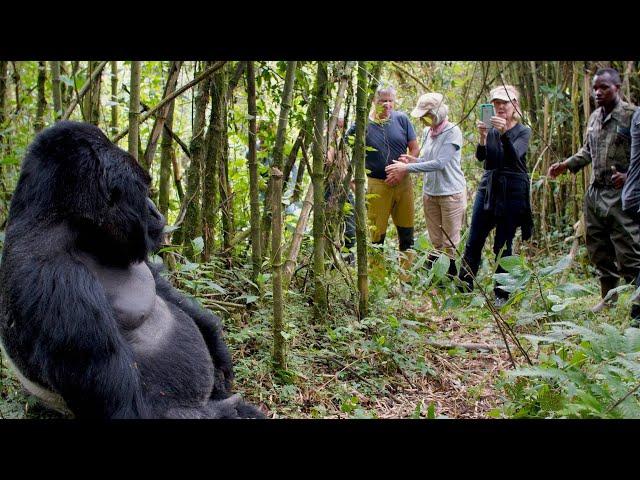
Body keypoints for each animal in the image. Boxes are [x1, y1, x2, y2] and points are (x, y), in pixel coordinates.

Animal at [0, 121, 264, 420]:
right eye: (141, 191)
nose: (156, 212)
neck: (65, 225)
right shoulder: (58, 281)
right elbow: (125, 409)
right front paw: (223, 412)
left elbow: (166, 289)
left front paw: (215, 343)